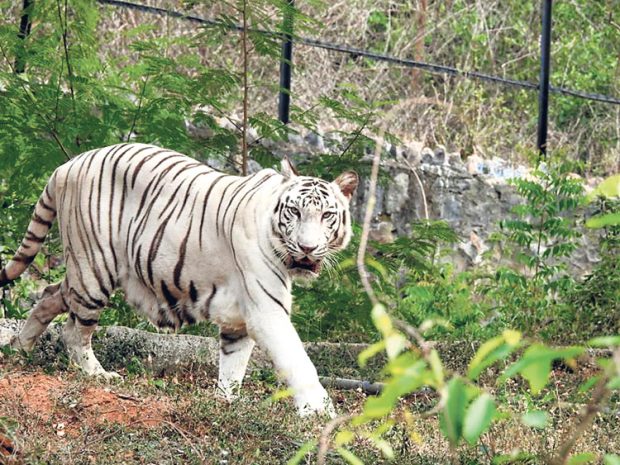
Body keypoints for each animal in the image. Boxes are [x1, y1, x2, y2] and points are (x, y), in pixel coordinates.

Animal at [1, 143, 358, 416]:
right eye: (294, 212)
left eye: (327, 215)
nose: (307, 248)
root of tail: (67, 165)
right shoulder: (266, 311)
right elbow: (299, 361)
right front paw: (320, 413)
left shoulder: (239, 318)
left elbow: (233, 364)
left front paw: (225, 402)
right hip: (94, 269)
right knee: (75, 331)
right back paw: (97, 374)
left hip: (84, 271)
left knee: (49, 295)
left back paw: (19, 349)